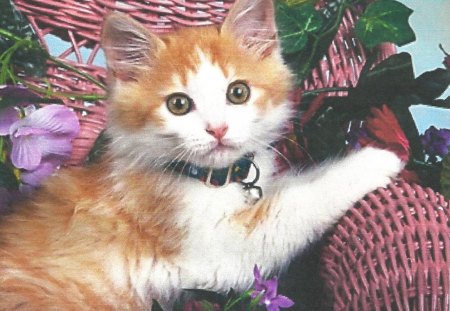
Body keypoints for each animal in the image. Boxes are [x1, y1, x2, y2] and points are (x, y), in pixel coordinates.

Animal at [0, 0, 402, 310]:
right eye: (178, 104)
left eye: (238, 93)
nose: (218, 129)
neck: (213, 177)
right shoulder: (219, 254)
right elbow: (297, 203)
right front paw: (375, 161)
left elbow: (293, 184)